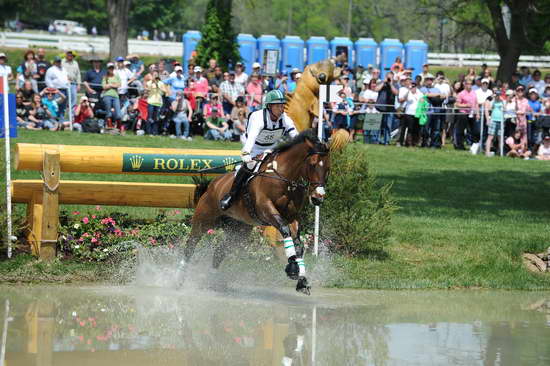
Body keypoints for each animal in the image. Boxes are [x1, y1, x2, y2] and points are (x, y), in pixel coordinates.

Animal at [183, 129, 332, 294]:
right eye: (312, 165)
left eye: (328, 169)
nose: (318, 198)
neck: (285, 179)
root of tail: (212, 185)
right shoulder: (267, 209)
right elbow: (285, 230)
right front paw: (293, 268)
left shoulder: (292, 217)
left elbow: (298, 244)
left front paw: (302, 280)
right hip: (203, 221)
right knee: (190, 247)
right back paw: (178, 279)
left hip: (238, 233)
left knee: (219, 252)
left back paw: (213, 281)